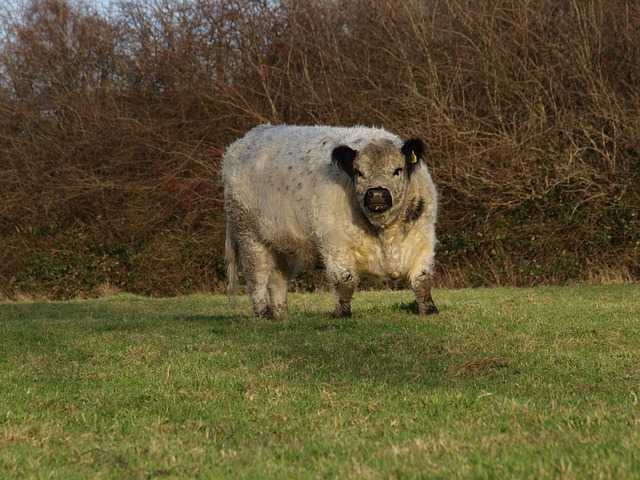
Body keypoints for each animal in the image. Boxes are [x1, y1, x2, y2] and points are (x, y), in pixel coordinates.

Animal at [222, 125, 438, 316]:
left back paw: (282, 315)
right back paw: (264, 313)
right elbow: (344, 280)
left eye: (397, 170)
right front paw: (342, 313)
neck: (384, 233)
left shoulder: (423, 236)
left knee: (278, 279)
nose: (376, 194)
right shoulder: (334, 241)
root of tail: (243, 141)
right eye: (359, 172)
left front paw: (429, 310)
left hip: (281, 243)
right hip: (248, 233)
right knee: (257, 275)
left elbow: (422, 278)